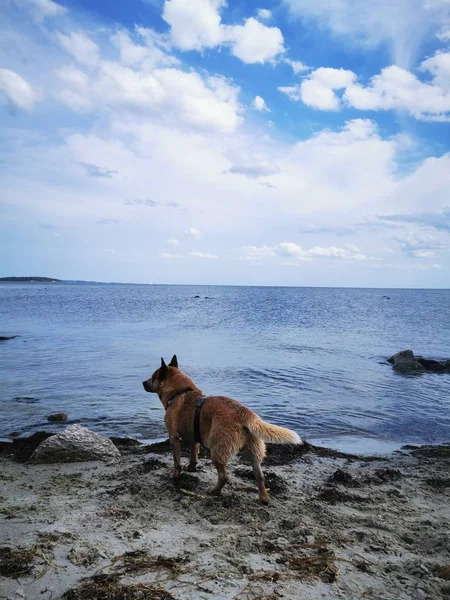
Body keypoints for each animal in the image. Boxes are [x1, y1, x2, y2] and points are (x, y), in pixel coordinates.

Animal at [142, 354, 300, 504]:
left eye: (153, 377)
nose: (143, 383)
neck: (180, 392)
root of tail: (243, 412)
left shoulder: (173, 437)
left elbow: (176, 461)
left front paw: (176, 476)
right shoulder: (193, 437)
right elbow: (193, 454)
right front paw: (192, 468)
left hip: (217, 452)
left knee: (224, 476)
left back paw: (214, 491)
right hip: (254, 452)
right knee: (260, 476)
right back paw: (263, 498)